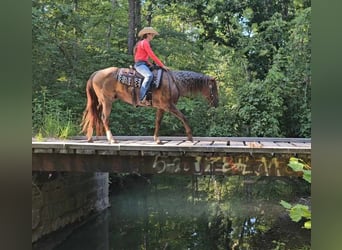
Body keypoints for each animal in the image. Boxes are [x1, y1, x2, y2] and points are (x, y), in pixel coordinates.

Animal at [81, 66, 218, 145]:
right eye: (214, 88)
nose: (217, 103)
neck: (173, 82)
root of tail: (96, 73)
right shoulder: (169, 105)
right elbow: (183, 117)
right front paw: (190, 137)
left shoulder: (161, 107)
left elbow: (158, 121)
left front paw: (157, 139)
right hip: (107, 101)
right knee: (105, 118)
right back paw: (112, 139)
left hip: (100, 102)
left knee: (94, 115)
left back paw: (90, 138)